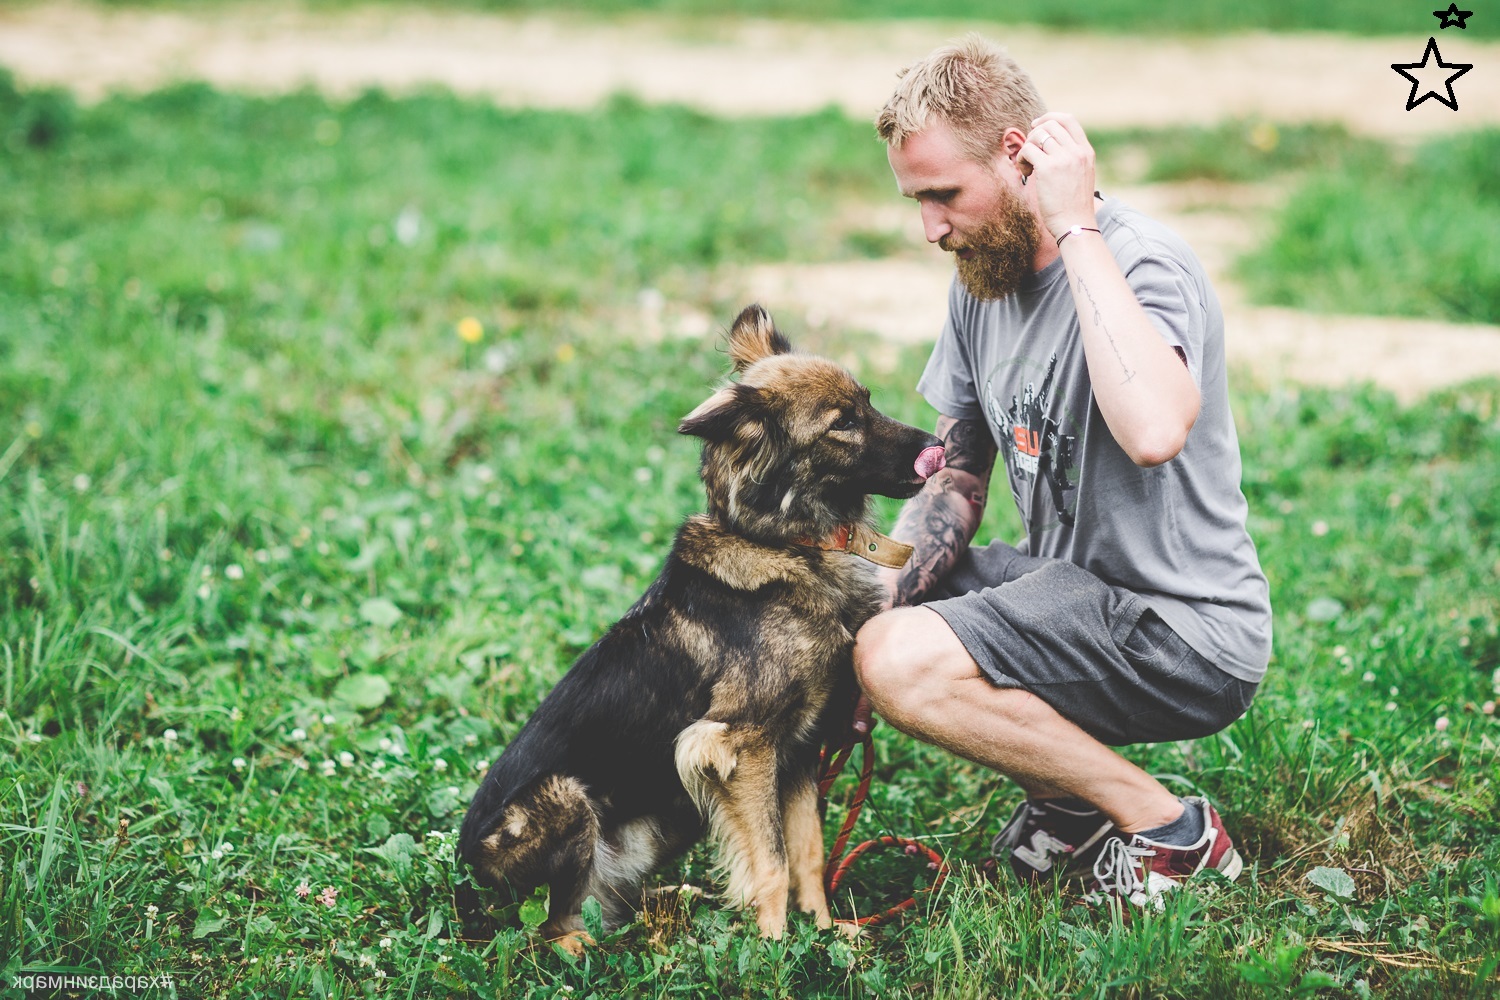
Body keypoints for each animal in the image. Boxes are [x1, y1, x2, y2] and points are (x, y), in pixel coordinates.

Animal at [459, 302, 948, 947]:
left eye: (867, 401)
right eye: (842, 423)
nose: (939, 446)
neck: (789, 545)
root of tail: (466, 875)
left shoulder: (798, 752)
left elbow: (808, 854)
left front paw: (822, 933)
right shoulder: (736, 745)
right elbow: (771, 862)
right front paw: (775, 948)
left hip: (670, 816)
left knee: (605, 897)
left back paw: (673, 900)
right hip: (568, 801)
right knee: (554, 921)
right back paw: (588, 948)